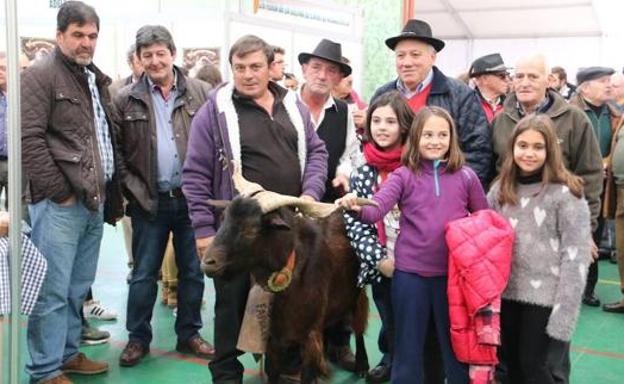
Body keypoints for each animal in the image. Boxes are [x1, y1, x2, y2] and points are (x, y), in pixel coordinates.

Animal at [202, 196, 368, 382]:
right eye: (223, 219)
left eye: (251, 229)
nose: (208, 263)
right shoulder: (274, 337)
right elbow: (273, 372)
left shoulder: (309, 335)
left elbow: (307, 375)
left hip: (357, 295)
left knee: (359, 328)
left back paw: (361, 366)